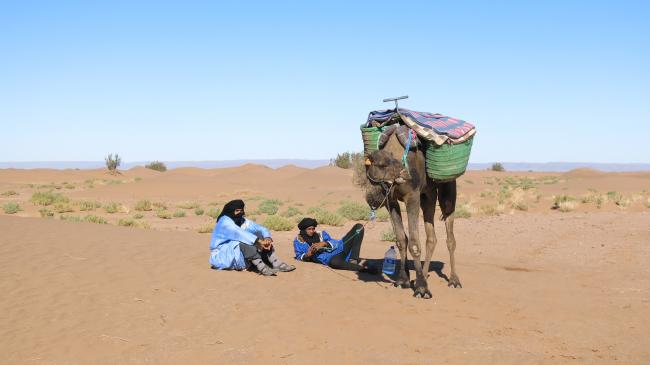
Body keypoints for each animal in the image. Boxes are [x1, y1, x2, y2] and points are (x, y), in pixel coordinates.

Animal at [364, 132, 460, 298]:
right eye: (382, 165)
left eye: (395, 161)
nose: (404, 173)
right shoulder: (391, 200)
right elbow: (401, 240)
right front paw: (403, 280)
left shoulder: (412, 196)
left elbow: (414, 243)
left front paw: (422, 289)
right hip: (427, 195)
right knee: (431, 238)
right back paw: (425, 274)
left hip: (447, 188)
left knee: (450, 235)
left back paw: (454, 280)